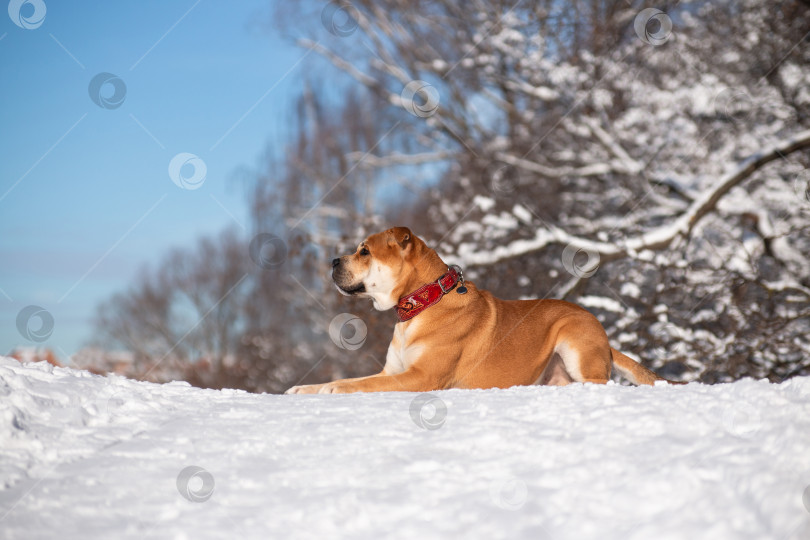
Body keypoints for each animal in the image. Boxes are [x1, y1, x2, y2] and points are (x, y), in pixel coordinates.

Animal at [284, 226, 676, 394]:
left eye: (364, 251)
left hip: (572, 339)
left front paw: (331, 391)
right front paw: (305, 388)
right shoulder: (392, 370)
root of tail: (604, 337)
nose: (333, 260)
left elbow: (360, 385)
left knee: (599, 382)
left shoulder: (420, 377)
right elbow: (352, 379)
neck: (423, 303)